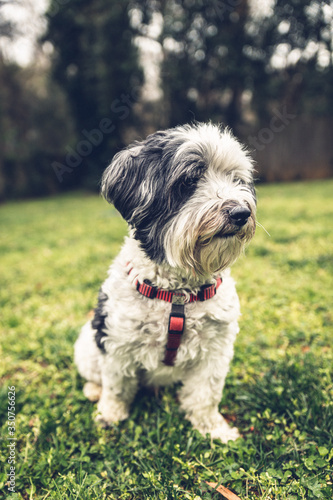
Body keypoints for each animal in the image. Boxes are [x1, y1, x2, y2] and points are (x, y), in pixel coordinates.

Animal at [74, 122, 256, 442]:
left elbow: (206, 395)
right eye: (189, 180)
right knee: (96, 376)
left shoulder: (215, 350)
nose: (241, 212)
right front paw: (110, 416)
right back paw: (94, 391)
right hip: (87, 345)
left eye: (237, 180)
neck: (179, 294)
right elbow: (117, 387)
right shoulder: (118, 345)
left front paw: (213, 428)